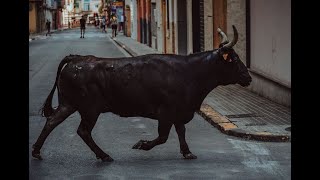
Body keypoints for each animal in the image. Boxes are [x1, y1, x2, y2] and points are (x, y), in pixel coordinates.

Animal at [32, 24, 252, 161]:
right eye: (234, 59)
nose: (248, 77)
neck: (190, 72)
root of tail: (77, 58)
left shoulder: (179, 110)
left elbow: (181, 131)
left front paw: (187, 152)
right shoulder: (166, 113)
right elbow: (163, 137)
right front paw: (142, 144)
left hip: (68, 103)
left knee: (52, 122)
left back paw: (36, 151)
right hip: (89, 109)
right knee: (83, 131)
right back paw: (104, 155)